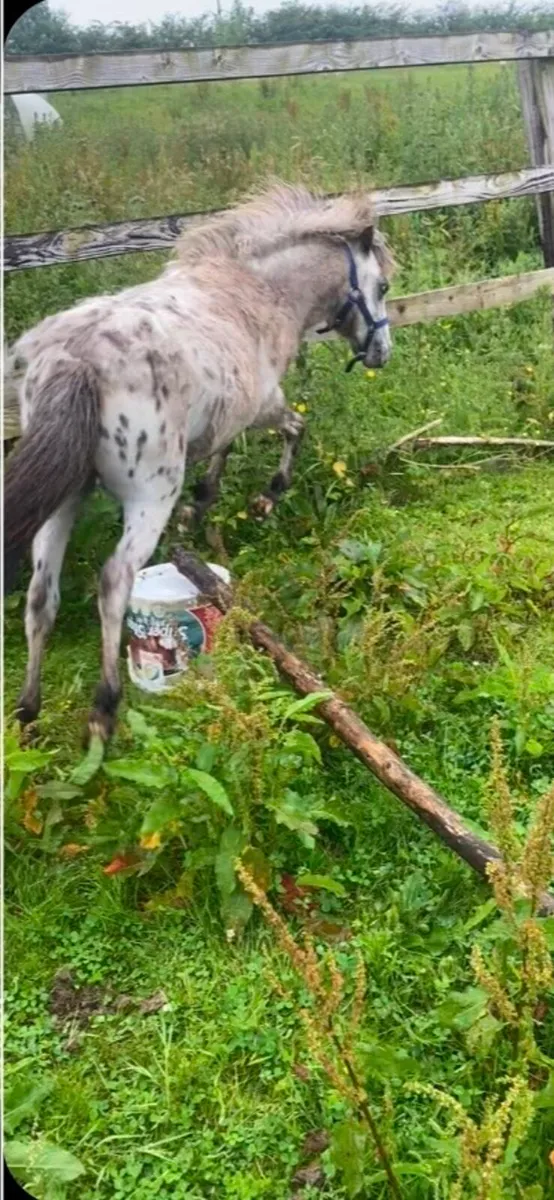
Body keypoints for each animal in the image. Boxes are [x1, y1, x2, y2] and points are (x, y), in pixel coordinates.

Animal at [4, 182, 394, 742]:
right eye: (381, 285)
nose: (382, 351)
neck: (256, 292)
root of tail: (77, 359)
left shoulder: (228, 412)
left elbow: (221, 455)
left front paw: (202, 509)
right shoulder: (262, 405)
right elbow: (293, 431)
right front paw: (263, 500)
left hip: (65, 498)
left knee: (41, 596)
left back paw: (27, 713)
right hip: (150, 494)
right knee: (114, 580)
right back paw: (104, 711)